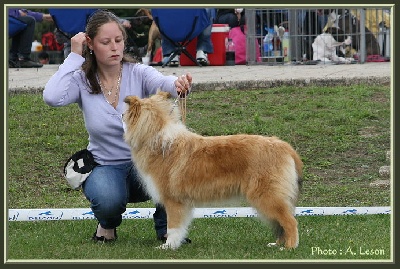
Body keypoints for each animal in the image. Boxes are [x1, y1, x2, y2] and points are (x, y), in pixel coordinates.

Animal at [122, 90, 304, 249]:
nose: (121, 115)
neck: (158, 140)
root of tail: (285, 146)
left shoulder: (173, 200)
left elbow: (173, 228)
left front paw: (168, 246)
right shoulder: (184, 203)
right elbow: (181, 227)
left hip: (267, 196)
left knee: (290, 221)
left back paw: (289, 247)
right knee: (282, 224)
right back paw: (277, 244)